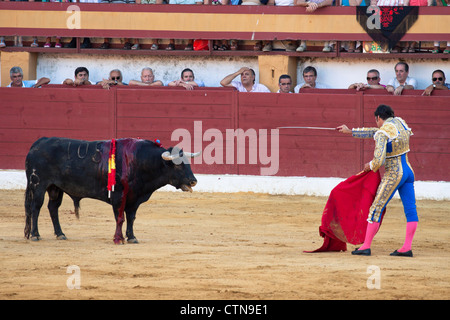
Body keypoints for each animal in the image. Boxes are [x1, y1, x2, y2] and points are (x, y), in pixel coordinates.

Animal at [24, 136, 200, 244]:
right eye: (178, 165)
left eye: (188, 163)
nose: (193, 181)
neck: (139, 160)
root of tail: (38, 143)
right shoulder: (118, 196)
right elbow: (120, 217)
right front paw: (119, 238)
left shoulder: (134, 198)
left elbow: (131, 218)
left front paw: (131, 237)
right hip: (38, 185)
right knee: (35, 207)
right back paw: (35, 235)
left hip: (55, 188)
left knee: (53, 208)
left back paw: (60, 234)